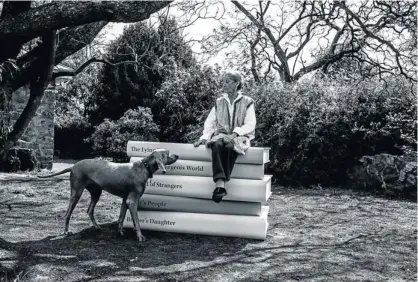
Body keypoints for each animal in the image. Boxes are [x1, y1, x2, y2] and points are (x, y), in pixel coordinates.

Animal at [37, 150, 178, 242]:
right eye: (167, 153)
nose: (177, 155)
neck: (144, 166)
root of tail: (73, 166)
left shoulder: (125, 200)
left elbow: (121, 217)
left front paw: (120, 232)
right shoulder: (132, 201)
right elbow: (136, 221)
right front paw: (140, 236)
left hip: (96, 193)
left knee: (89, 210)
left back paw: (96, 227)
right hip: (76, 193)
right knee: (67, 213)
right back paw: (66, 231)